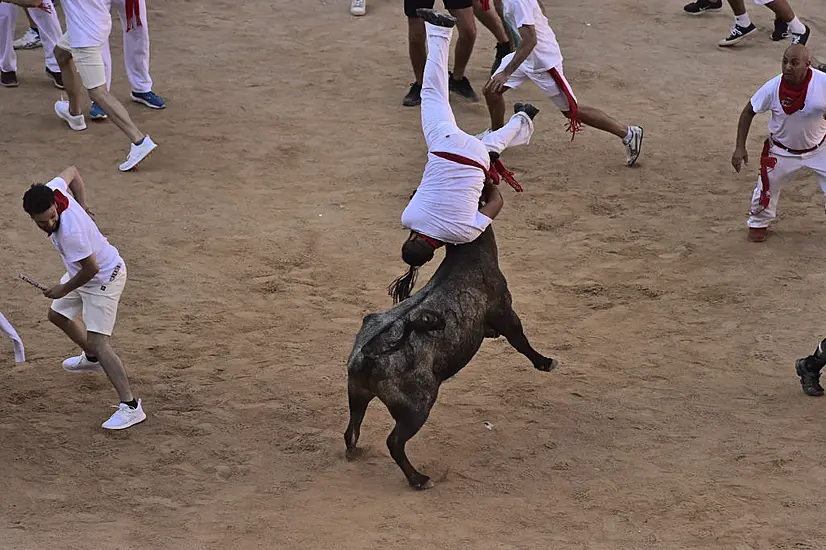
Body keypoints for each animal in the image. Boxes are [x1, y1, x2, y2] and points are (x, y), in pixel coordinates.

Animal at [342, 226, 552, 490]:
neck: (468, 257)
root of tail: (371, 351)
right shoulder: (505, 312)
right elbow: (520, 341)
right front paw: (546, 362)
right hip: (418, 407)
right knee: (394, 442)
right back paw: (419, 479)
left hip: (357, 393)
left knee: (352, 428)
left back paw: (354, 453)